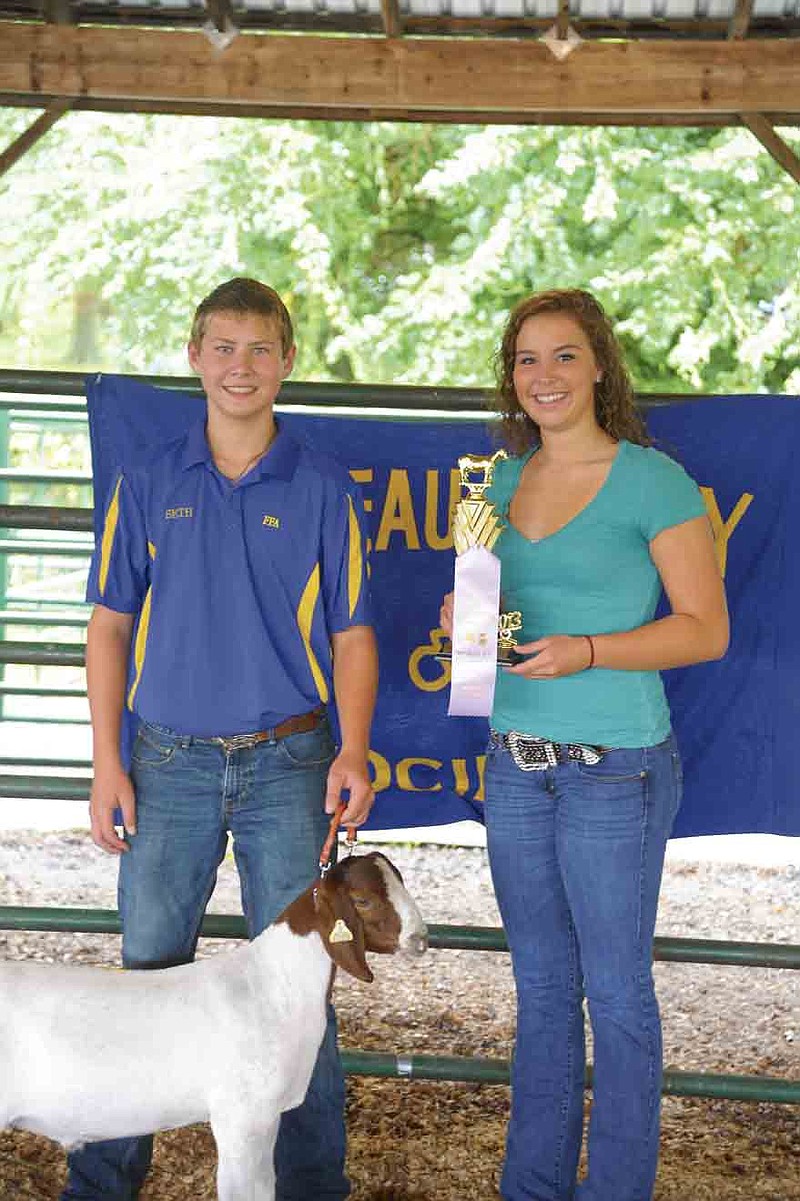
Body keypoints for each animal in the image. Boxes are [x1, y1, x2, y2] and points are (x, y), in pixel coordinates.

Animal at [0, 850, 427, 1196]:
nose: (421, 939)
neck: (271, 985)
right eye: (363, 900)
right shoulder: (241, 1117)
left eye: (402, 883)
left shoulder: (266, 1117)